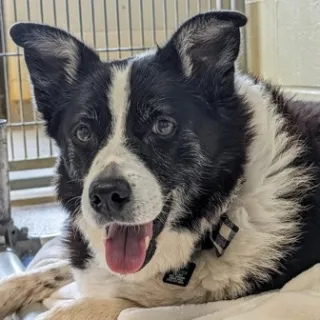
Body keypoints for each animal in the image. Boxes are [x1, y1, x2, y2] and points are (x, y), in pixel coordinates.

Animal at [0, 10, 320, 320]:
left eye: (163, 126)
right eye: (82, 132)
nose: (105, 195)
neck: (215, 222)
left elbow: (123, 302)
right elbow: (53, 269)